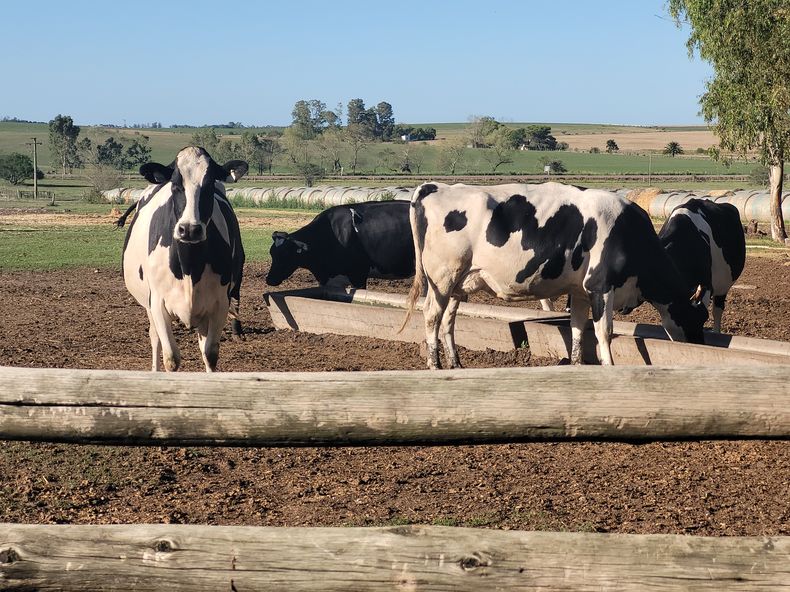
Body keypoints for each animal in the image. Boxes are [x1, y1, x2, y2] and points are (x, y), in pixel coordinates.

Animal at [122, 146, 247, 372]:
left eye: (209, 184)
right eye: (175, 185)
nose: (189, 229)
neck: (190, 268)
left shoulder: (219, 304)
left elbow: (210, 354)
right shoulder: (158, 304)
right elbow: (171, 358)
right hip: (148, 305)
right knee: (155, 339)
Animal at [403, 182, 708, 369]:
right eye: (697, 319)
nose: (700, 345)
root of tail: (434, 187)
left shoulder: (580, 290)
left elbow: (578, 327)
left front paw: (576, 363)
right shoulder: (601, 285)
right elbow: (604, 331)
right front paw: (608, 366)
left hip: (459, 282)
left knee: (448, 320)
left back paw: (455, 363)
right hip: (442, 278)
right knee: (432, 315)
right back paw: (435, 365)